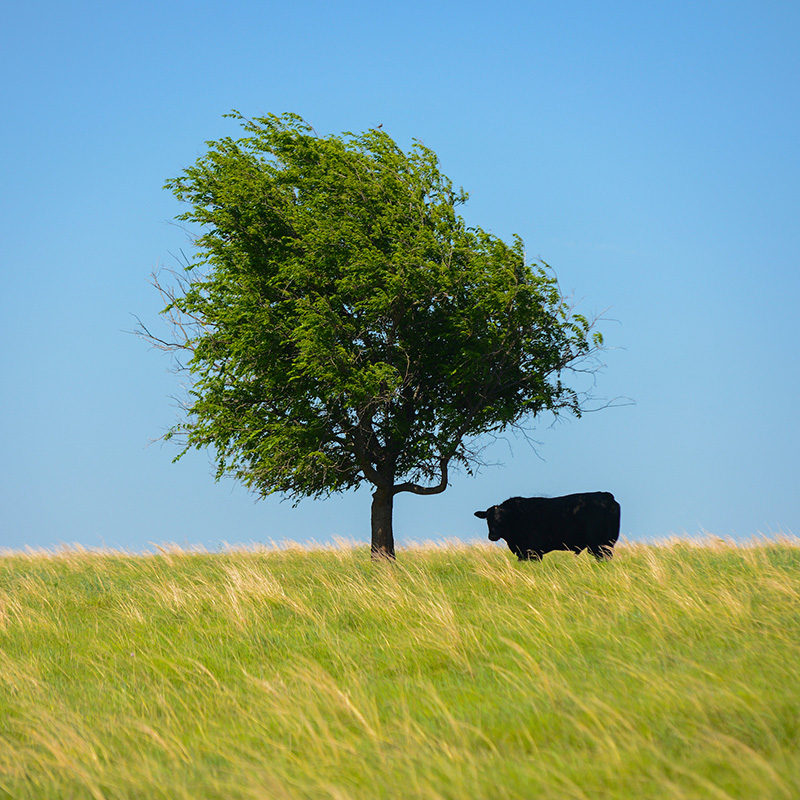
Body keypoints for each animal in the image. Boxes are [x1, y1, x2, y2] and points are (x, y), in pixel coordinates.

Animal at [474, 492, 620, 561]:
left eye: (502, 519)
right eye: (488, 519)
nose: (492, 535)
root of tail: (605, 495)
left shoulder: (532, 551)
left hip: (598, 544)